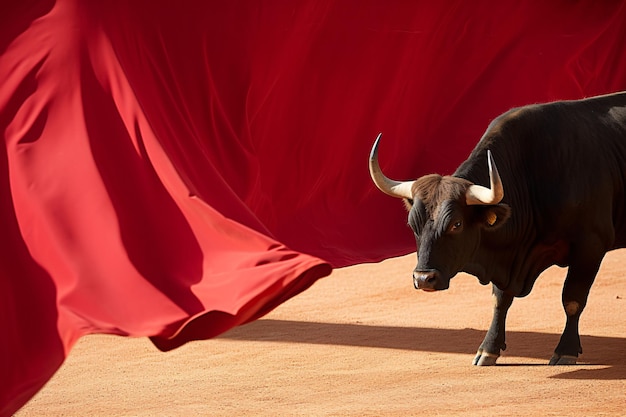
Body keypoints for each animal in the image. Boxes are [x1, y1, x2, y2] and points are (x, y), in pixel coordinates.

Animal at [368, 91, 624, 364]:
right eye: (412, 223)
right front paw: (488, 347)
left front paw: (566, 350)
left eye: (456, 224)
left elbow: (572, 300)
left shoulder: (591, 245)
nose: (424, 278)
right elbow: (500, 300)